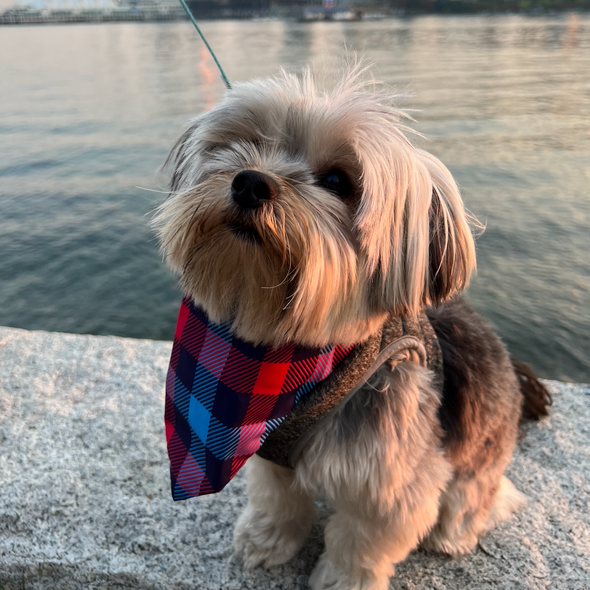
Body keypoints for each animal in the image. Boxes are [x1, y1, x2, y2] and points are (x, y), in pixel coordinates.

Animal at [155, 67, 552, 590]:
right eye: (246, 144)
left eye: (338, 181)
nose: (250, 182)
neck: (291, 362)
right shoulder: (264, 451)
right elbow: (278, 500)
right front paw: (266, 542)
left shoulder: (389, 481)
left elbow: (362, 542)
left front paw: (341, 580)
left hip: (482, 445)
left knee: (476, 497)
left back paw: (453, 534)